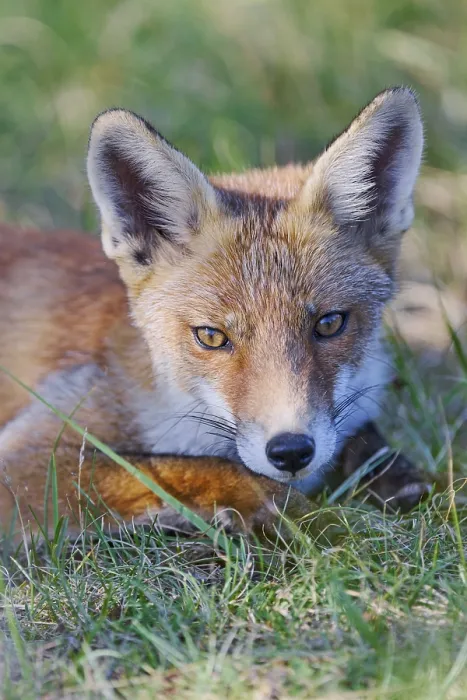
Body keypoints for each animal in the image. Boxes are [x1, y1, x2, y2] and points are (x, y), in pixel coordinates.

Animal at [0, 87, 430, 542]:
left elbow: (367, 442)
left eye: (329, 324)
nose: (291, 450)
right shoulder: (32, 452)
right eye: (211, 336)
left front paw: (399, 479)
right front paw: (307, 517)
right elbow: (192, 467)